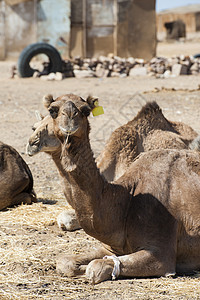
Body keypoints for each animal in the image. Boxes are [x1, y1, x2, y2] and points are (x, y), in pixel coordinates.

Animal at [45, 94, 200, 284]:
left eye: (86, 110)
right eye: (52, 110)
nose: (69, 119)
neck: (127, 199)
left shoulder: (161, 254)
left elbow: (95, 267)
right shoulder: (111, 247)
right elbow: (65, 262)